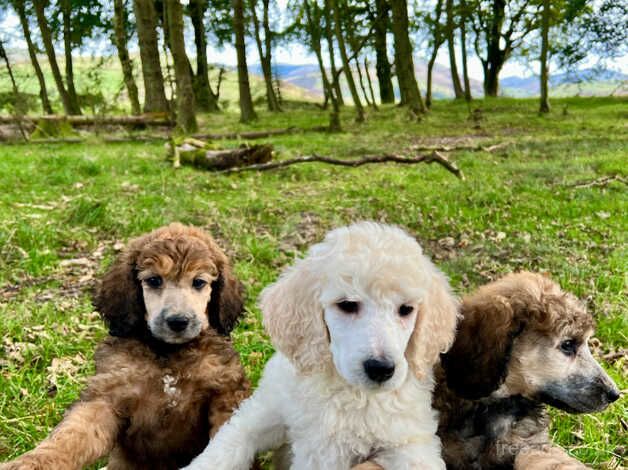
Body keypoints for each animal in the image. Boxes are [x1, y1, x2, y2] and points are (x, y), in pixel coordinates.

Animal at [2, 224, 253, 470]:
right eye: (154, 280)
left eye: (199, 282)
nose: (178, 321)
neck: (168, 354)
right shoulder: (107, 396)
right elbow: (71, 435)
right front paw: (31, 462)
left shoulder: (225, 391)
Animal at [184, 223, 458, 470]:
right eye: (347, 305)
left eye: (406, 309)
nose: (381, 369)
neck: (347, 390)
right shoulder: (266, 409)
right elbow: (228, 445)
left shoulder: (409, 440)